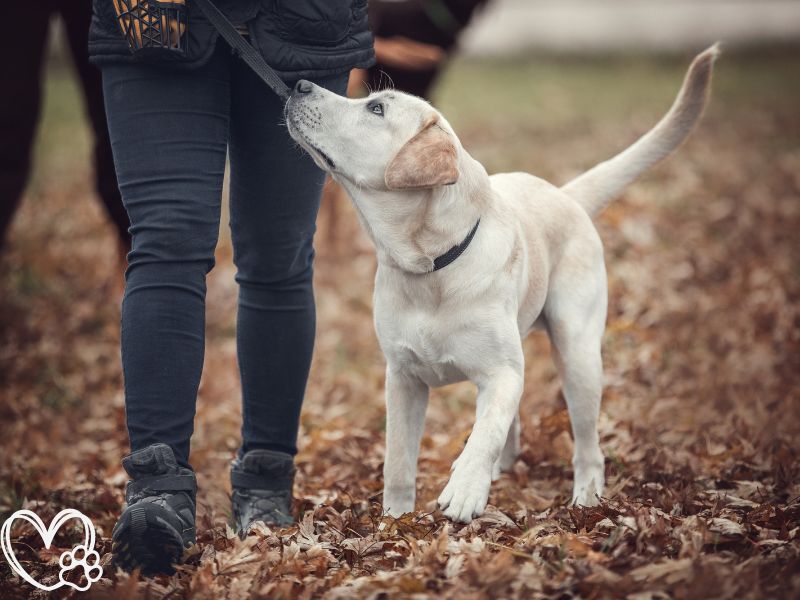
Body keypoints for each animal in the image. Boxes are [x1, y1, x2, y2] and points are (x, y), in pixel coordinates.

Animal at [286, 45, 720, 520]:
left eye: (376, 109)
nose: (298, 84)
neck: (432, 267)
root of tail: (565, 195)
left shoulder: (501, 372)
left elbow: (486, 431)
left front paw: (464, 489)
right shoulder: (402, 378)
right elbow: (398, 462)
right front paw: (395, 520)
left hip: (578, 353)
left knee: (587, 445)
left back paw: (586, 498)